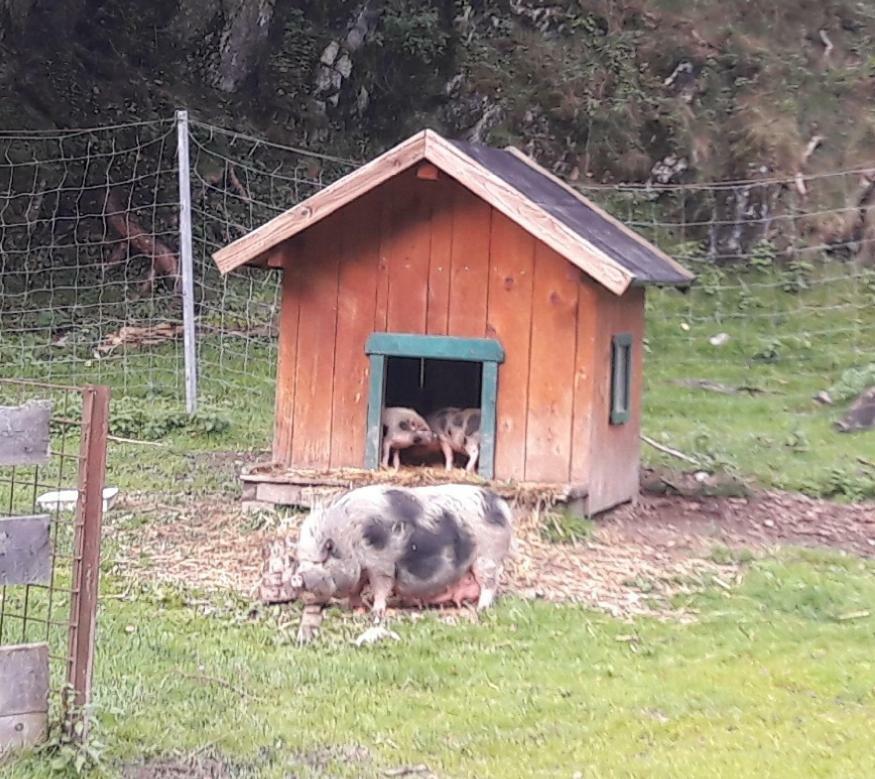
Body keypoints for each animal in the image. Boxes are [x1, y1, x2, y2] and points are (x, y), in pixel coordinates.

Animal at [290, 484, 510, 644]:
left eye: (322, 559)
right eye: (301, 560)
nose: (296, 578)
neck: (350, 537)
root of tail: (501, 507)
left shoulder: (382, 565)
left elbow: (381, 588)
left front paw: (376, 612)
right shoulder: (363, 568)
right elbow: (357, 587)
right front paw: (357, 608)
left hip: (487, 556)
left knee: (490, 583)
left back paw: (481, 608)